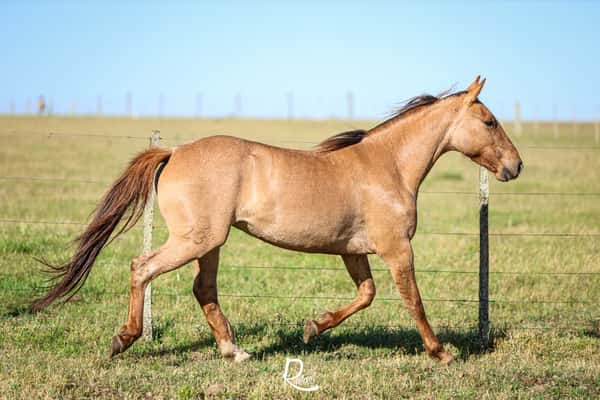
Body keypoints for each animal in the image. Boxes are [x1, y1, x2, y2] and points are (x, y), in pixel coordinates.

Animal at [32, 76, 520, 364]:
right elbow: (412, 300)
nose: (515, 166)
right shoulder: (397, 249)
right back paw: (124, 339)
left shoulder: (353, 251)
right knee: (142, 268)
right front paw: (441, 353)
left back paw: (234, 351)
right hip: (195, 239)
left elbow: (365, 295)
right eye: (490, 121)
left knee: (203, 289)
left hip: (210, 243)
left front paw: (312, 328)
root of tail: (175, 152)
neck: (388, 167)